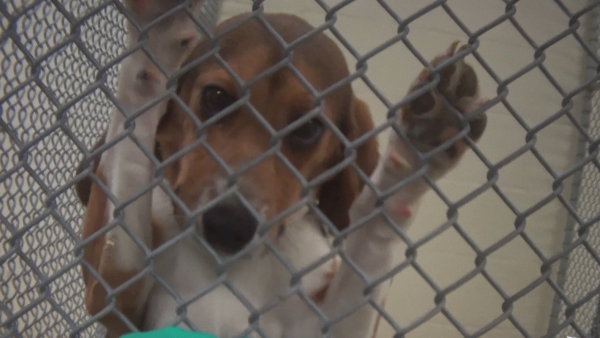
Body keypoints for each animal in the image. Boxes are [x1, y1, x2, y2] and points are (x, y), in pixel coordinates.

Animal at [75, 1, 488, 336]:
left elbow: (374, 235)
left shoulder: (332, 324)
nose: (230, 226)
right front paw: (159, 32)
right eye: (216, 97)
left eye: (307, 129)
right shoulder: (112, 294)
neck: (232, 269)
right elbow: (131, 148)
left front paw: (419, 149)